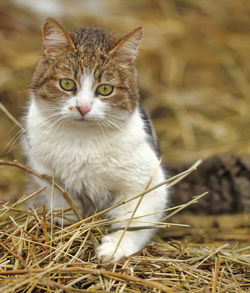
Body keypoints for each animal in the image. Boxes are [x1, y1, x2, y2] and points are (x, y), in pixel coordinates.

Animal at [23, 17, 168, 262]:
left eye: (105, 89)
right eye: (67, 84)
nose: (83, 108)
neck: (83, 139)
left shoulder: (148, 183)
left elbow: (135, 219)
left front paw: (115, 247)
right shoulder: (45, 171)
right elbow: (61, 202)